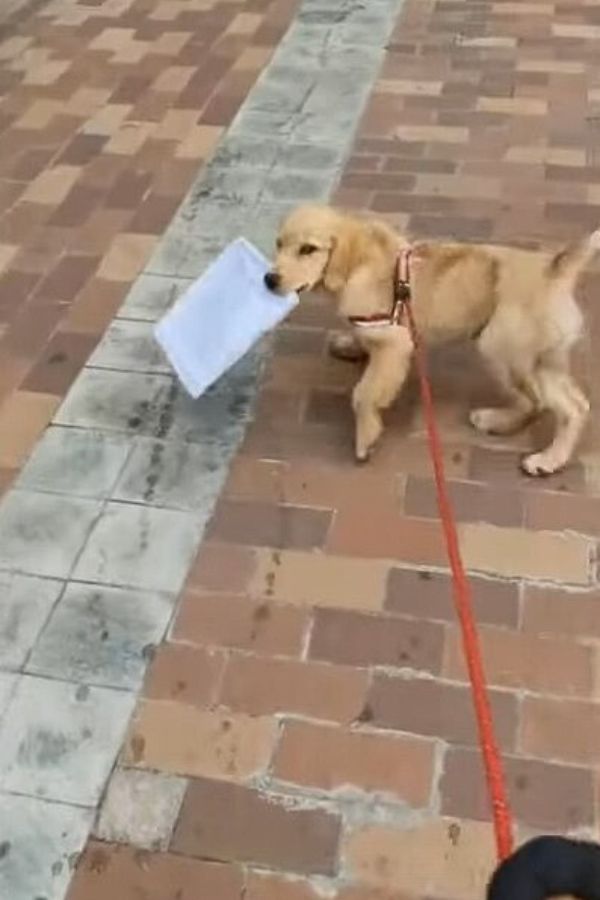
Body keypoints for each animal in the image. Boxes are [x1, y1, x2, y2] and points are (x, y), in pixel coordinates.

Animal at [264, 202, 592, 472]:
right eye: (279, 244)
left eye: (308, 249)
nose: (269, 280)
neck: (357, 266)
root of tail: (556, 270)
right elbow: (363, 340)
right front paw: (352, 344)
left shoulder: (395, 344)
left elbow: (364, 393)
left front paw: (366, 437)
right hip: (541, 356)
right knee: (561, 402)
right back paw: (500, 423)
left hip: (499, 347)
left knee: (559, 405)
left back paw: (547, 459)